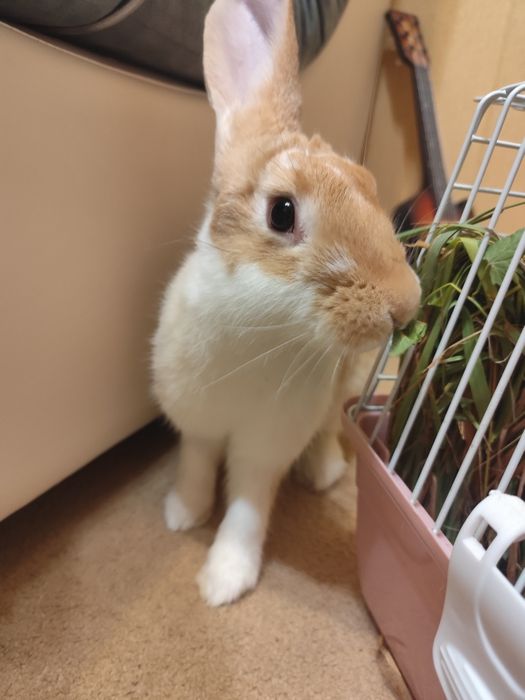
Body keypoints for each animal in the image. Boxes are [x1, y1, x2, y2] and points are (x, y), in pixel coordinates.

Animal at [151, 0, 421, 606]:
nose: (405, 304)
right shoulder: (197, 422)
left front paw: (224, 581)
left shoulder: (266, 446)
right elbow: (197, 465)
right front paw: (183, 514)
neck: (257, 338)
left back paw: (323, 474)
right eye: (281, 212)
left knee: (328, 429)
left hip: (344, 387)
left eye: (369, 184)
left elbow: (248, 507)